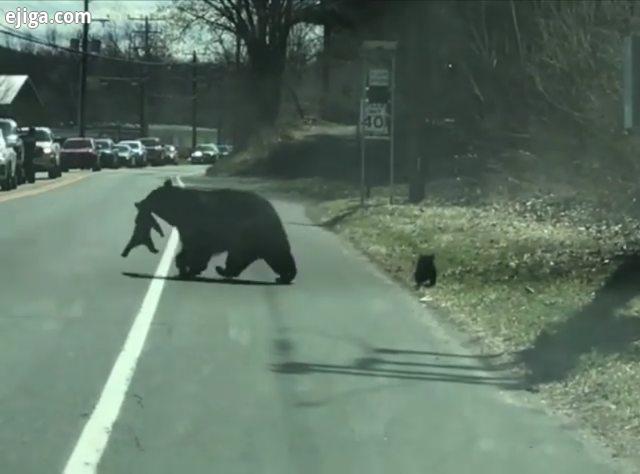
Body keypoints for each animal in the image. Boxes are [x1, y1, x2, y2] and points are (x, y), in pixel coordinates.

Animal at [122, 180, 298, 284]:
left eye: (151, 196)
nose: (139, 203)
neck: (179, 210)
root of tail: (273, 211)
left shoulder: (199, 226)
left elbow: (197, 249)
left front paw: (188, 268)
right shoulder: (186, 227)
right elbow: (189, 248)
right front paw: (185, 268)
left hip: (255, 233)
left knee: (274, 254)